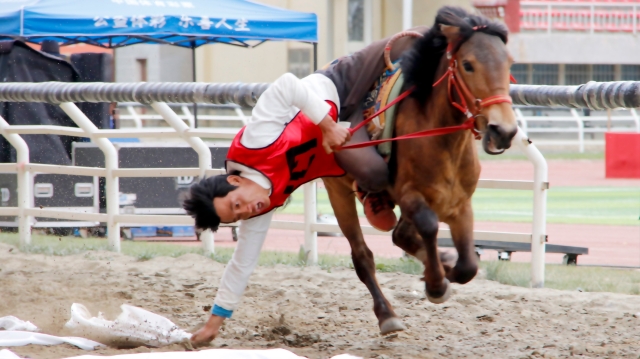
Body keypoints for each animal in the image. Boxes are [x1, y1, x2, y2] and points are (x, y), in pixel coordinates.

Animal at [322, 7, 516, 336]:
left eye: (509, 63)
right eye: (468, 65)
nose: (503, 130)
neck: (441, 137)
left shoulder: (460, 204)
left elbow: (468, 265)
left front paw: (445, 269)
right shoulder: (411, 197)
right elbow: (428, 227)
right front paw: (436, 284)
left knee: (401, 236)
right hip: (337, 190)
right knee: (363, 256)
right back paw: (387, 314)